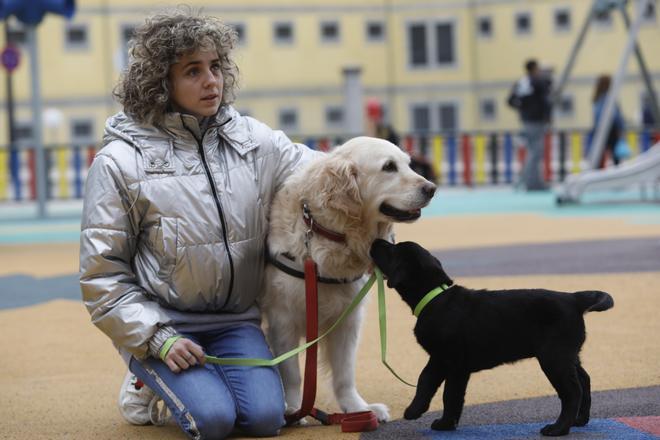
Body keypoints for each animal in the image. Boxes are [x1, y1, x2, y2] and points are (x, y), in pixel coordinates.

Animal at [372, 241, 612, 436]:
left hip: (554, 358)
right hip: (569, 355)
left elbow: (448, 394)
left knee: (572, 391)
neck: (435, 297)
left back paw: (558, 429)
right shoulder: (440, 359)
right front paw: (424, 413)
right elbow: (428, 381)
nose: (376, 241)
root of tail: (574, 299)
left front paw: (440, 421)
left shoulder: (453, 362)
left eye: (392, 250)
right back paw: (580, 420)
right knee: (585, 381)